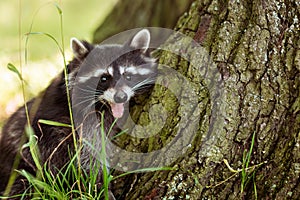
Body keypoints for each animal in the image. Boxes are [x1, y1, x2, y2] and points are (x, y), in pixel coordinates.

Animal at [0, 28, 158, 199]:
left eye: (128, 76)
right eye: (104, 78)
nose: (120, 97)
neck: (103, 105)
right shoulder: (73, 121)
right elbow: (88, 153)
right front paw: (100, 185)